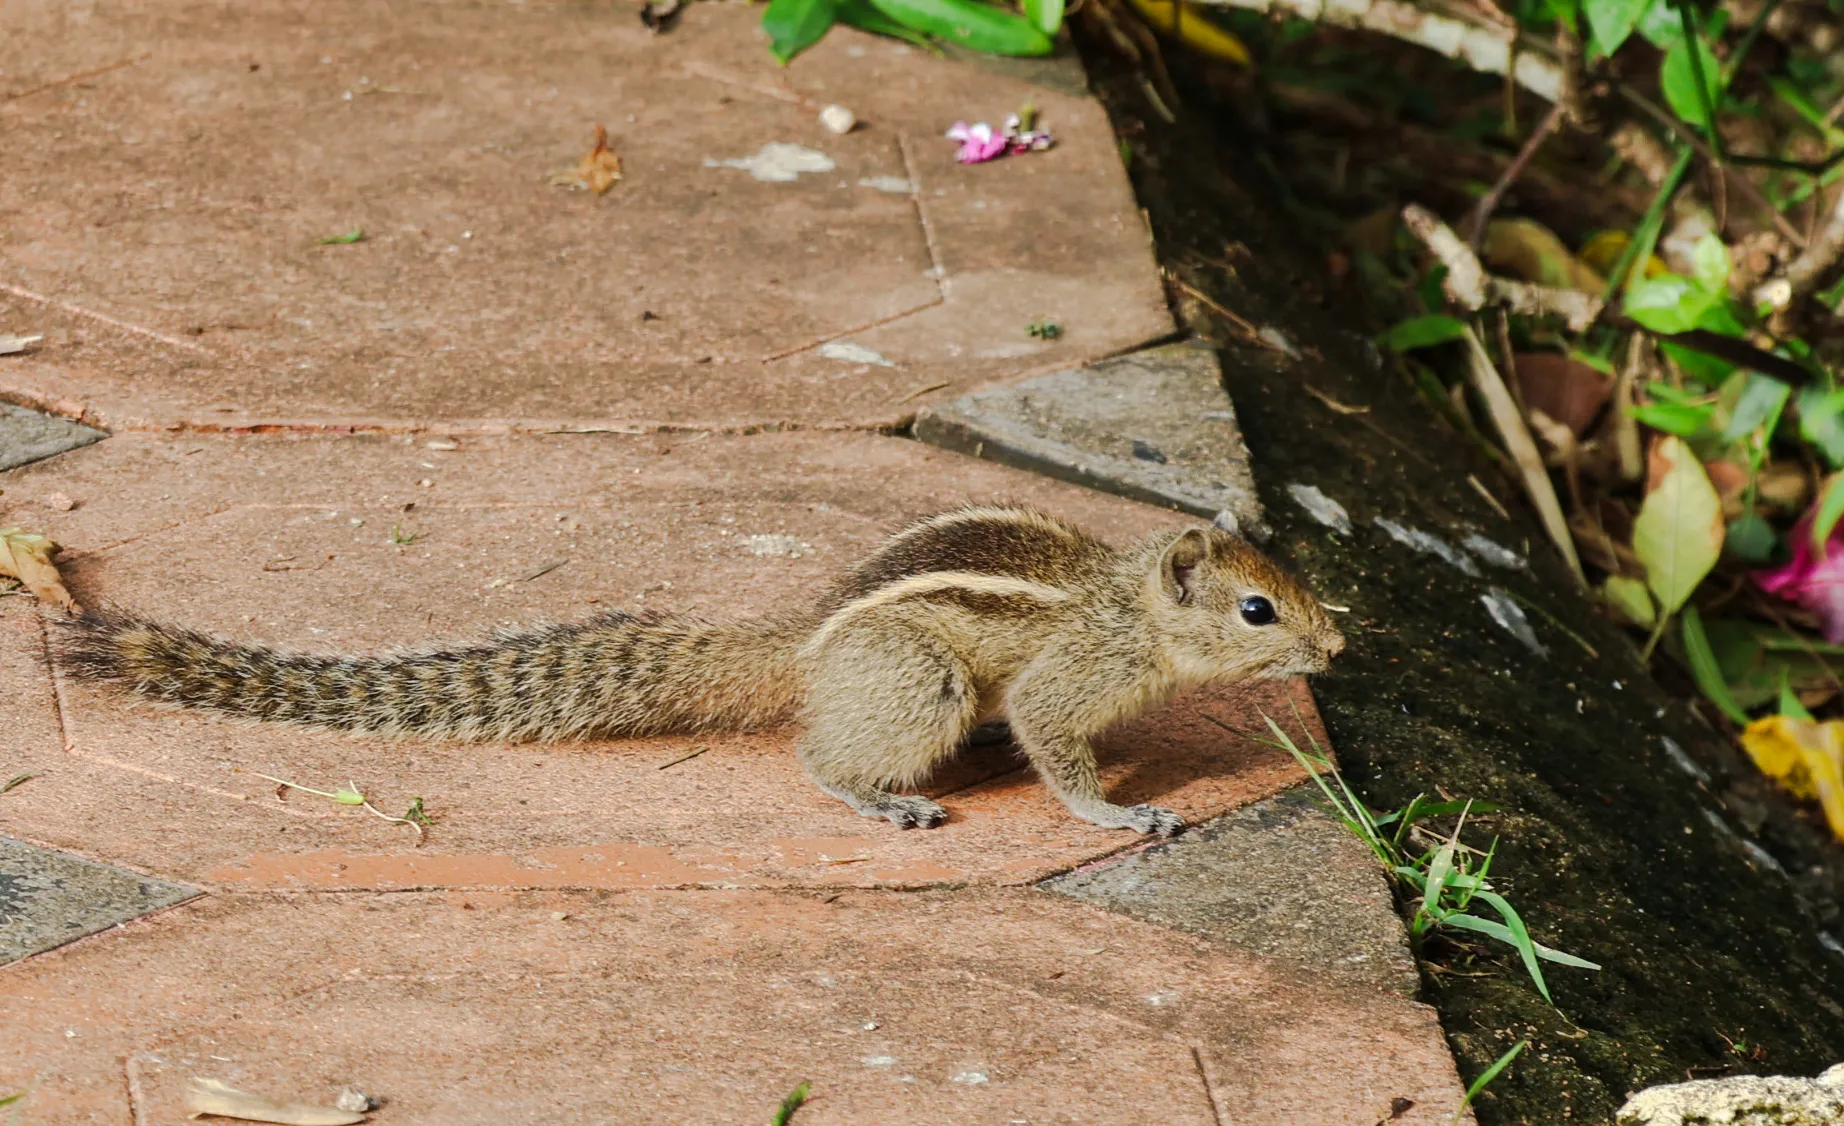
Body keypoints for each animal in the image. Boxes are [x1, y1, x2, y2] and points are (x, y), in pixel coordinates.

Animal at [62, 504, 1344, 836]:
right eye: (1254, 607)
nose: (1335, 644)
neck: (1131, 608)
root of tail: (807, 639)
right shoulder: (1065, 677)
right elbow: (1057, 743)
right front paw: (1120, 813)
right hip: (915, 679)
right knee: (820, 757)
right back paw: (882, 798)